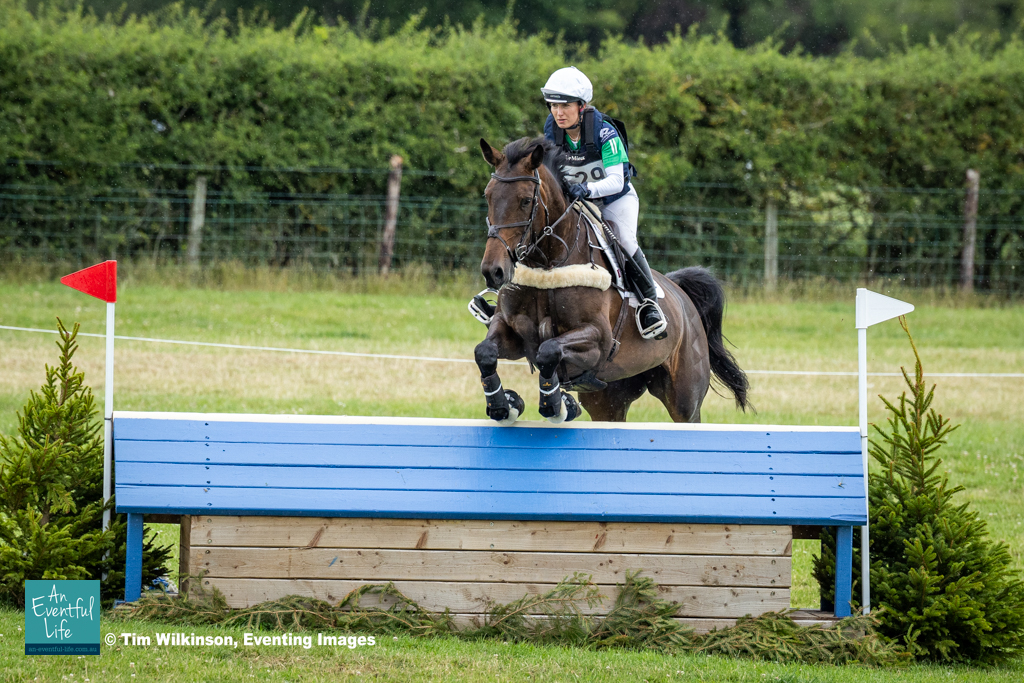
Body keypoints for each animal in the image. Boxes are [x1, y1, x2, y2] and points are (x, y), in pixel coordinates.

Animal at [473, 136, 750, 424]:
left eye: (526, 201)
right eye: (488, 195)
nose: (494, 271)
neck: (548, 264)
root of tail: (683, 297)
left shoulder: (598, 339)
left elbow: (549, 350)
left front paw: (554, 404)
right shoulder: (512, 330)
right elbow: (485, 352)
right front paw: (502, 404)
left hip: (685, 399)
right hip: (608, 400)